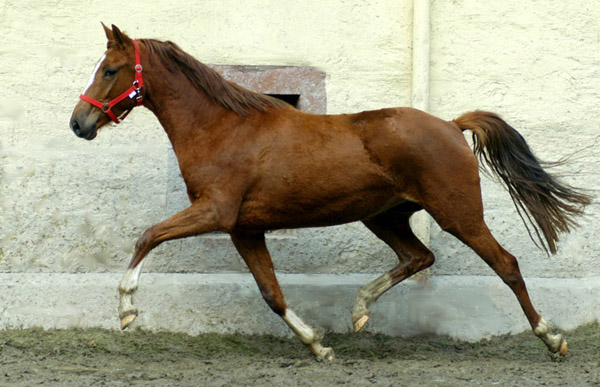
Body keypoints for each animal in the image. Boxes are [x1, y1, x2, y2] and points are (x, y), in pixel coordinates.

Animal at [70, 24, 592, 362]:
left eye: (111, 69)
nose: (79, 123)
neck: (222, 128)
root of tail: (450, 123)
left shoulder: (214, 212)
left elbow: (147, 236)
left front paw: (127, 310)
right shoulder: (244, 229)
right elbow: (271, 293)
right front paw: (319, 345)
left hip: (457, 214)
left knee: (506, 264)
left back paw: (552, 339)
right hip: (384, 216)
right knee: (418, 256)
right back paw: (359, 310)